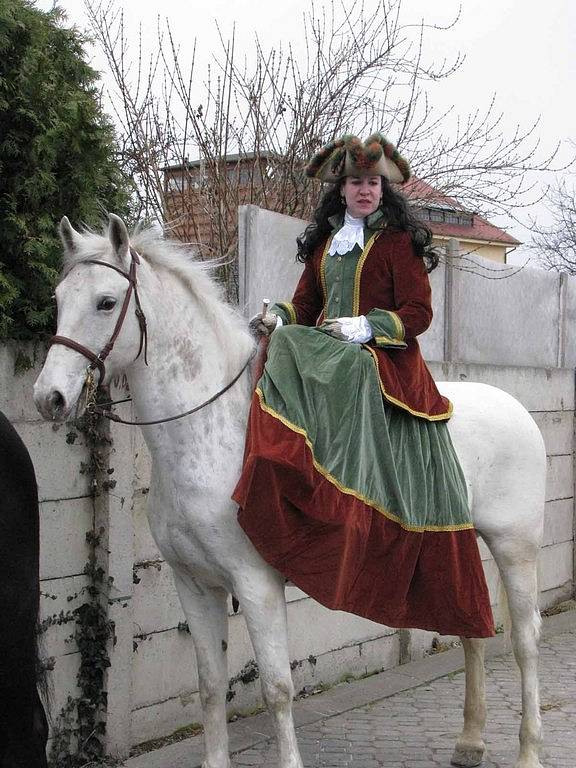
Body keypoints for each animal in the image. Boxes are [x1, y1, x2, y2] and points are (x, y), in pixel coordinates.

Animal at [33, 214, 548, 768]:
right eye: (58, 298)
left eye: (107, 302)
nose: (48, 398)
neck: (211, 434)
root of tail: (517, 409)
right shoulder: (195, 584)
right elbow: (209, 687)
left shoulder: (256, 584)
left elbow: (277, 688)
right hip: (457, 547)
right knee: (472, 629)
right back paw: (470, 742)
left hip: (516, 548)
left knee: (526, 639)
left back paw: (529, 751)